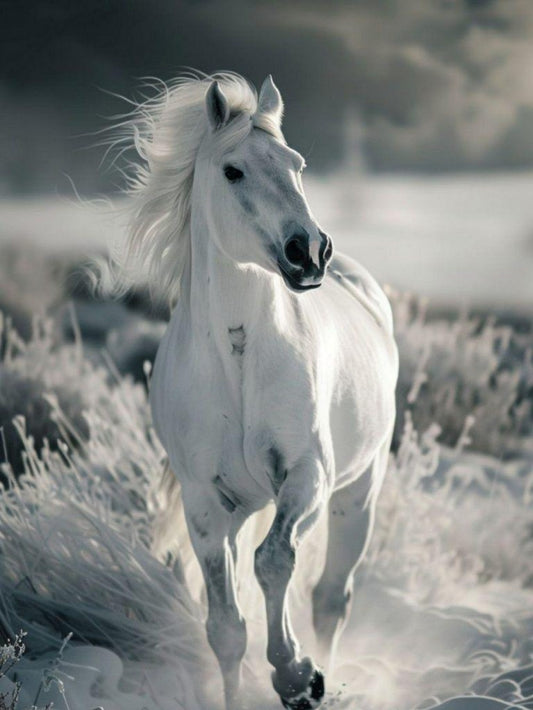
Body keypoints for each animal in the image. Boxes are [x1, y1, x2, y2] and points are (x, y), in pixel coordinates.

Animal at [108, 72, 398, 709]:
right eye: (232, 171)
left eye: (298, 165)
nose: (309, 251)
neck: (239, 362)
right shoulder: (205, 503)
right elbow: (226, 626)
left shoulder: (307, 475)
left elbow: (275, 561)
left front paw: (297, 675)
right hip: (247, 508)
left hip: (356, 493)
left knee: (329, 597)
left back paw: (326, 670)